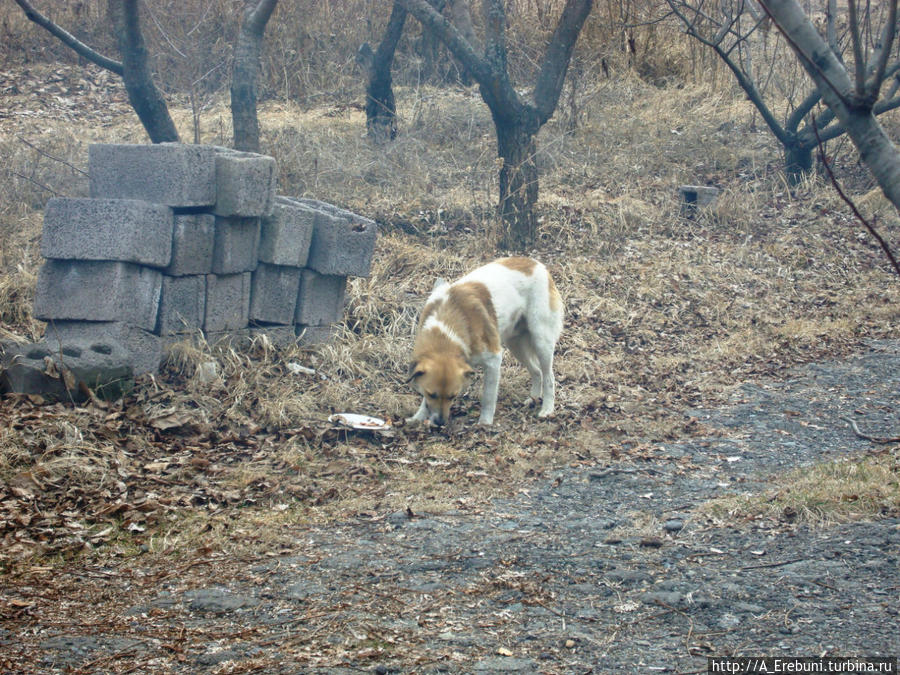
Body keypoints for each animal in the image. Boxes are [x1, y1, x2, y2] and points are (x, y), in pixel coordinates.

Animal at [406, 256, 564, 426]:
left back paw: (547, 409)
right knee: (536, 371)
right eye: (432, 394)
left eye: (453, 396)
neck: (446, 329)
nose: (440, 422)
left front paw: (485, 423)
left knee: (549, 377)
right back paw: (533, 399)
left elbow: (488, 397)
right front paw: (418, 417)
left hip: (541, 341)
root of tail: (537, 264)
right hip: (515, 345)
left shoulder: (494, 360)